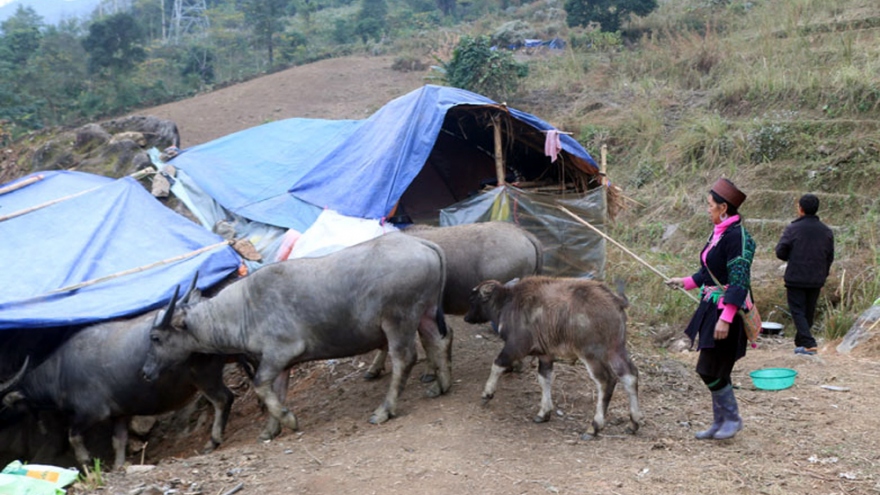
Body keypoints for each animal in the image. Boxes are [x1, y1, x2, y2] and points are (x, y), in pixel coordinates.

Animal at [0, 312, 234, 470]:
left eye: (2, 406)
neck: (59, 373)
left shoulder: (93, 413)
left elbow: (73, 436)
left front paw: (87, 463)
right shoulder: (120, 414)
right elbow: (118, 441)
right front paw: (118, 466)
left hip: (205, 376)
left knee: (223, 399)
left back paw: (213, 441)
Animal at [143, 233, 454, 442]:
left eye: (155, 337)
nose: (146, 371)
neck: (243, 309)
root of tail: (421, 243)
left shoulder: (279, 353)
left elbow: (260, 384)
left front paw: (288, 419)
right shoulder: (281, 364)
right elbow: (275, 390)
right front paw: (271, 428)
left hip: (398, 320)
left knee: (405, 358)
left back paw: (385, 409)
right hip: (426, 312)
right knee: (437, 340)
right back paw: (441, 385)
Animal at [464, 278, 644, 440]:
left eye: (473, 299)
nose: (466, 318)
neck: (507, 303)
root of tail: (616, 301)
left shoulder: (516, 347)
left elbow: (497, 364)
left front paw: (487, 393)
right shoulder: (545, 355)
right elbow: (544, 379)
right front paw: (544, 412)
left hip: (592, 354)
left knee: (606, 381)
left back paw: (594, 427)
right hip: (616, 349)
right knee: (630, 375)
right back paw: (633, 422)